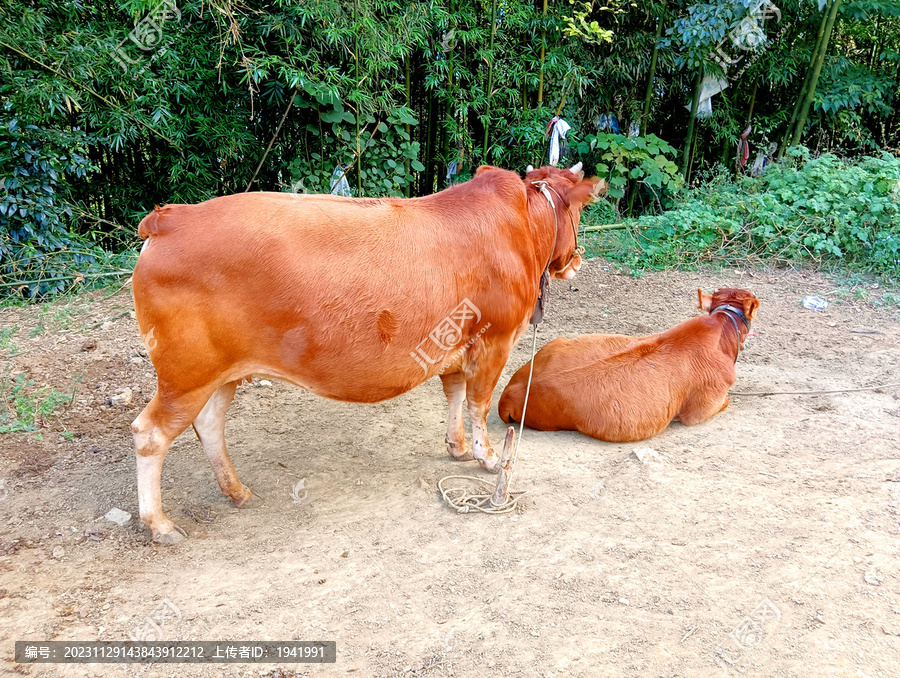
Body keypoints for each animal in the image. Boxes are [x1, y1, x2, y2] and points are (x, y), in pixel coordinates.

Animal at [130, 163, 600, 540]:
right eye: (579, 210)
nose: (578, 259)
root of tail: (172, 216)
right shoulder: (495, 338)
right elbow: (479, 402)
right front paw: (487, 458)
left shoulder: (453, 342)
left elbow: (454, 395)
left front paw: (458, 446)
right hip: (187, 373)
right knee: (150, 434)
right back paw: (160, 524)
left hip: (221, 371)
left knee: (209, 423)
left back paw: (237, 490)